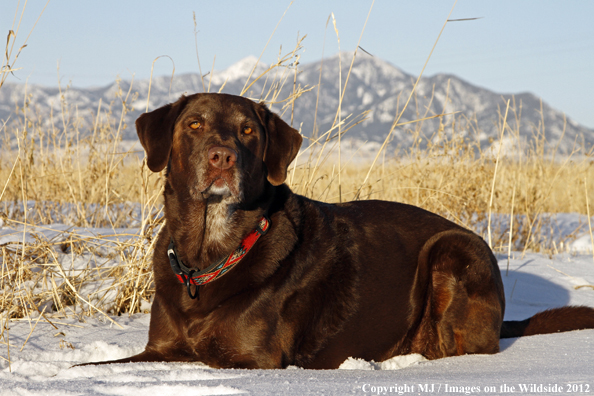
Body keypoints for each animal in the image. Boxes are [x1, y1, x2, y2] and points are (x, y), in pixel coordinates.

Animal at [99, 92, 588, 368]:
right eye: (194, 124)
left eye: (248, 131)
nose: (222, 156)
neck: (213, 253)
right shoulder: (159, 350)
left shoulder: (249, 358)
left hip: (454, 249)